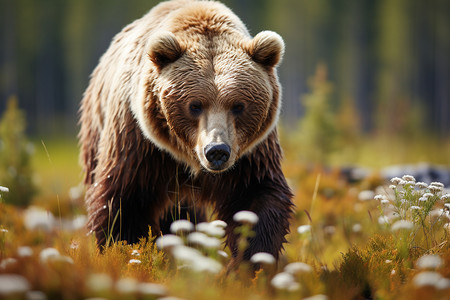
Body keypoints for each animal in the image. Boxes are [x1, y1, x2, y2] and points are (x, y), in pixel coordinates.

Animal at [79, 0, 294, 262]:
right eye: (195, 105)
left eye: (238, 105)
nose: (217, 151)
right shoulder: (139, 144)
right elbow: (124, 204)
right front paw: (124, 250)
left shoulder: (250, 153)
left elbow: (256, 198)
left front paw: (251, 261)